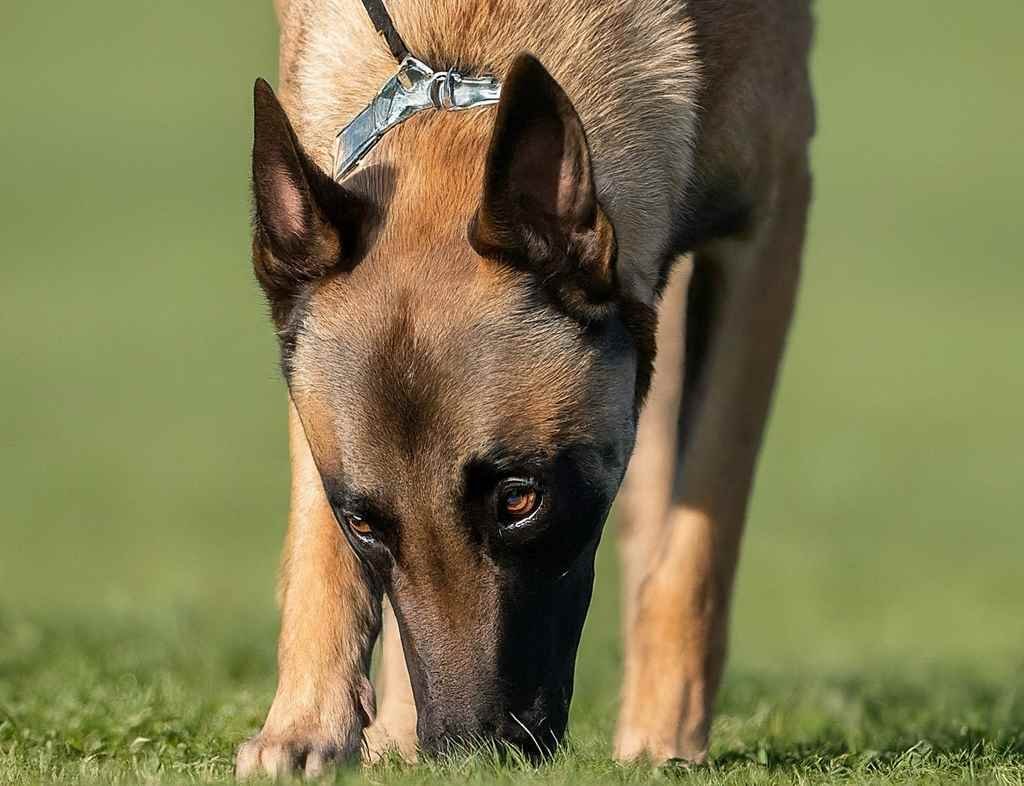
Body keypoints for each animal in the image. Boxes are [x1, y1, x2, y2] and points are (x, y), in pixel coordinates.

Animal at [235, 0, 811, 777]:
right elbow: (315, 546)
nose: (467, 752)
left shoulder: (768, 224)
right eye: (364, 526)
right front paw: (306, 724)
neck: (464, 52)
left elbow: (697, 541)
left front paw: (664, 734)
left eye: (520, 499)